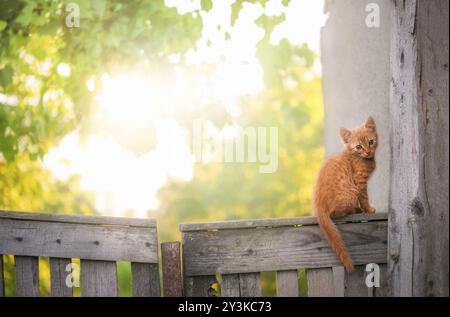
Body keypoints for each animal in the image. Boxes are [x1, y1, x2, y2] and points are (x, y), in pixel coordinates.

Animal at [312, 116, 380, 272]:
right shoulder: (359, 180)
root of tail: (318, 204)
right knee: (336, 213)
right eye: (358, 147)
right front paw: (368, 209)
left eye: (370, 141)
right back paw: (354, 209)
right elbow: (364, 197)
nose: (368, 152)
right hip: (351, 192)